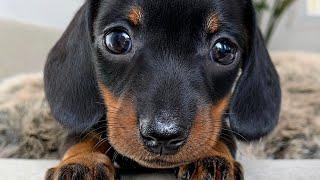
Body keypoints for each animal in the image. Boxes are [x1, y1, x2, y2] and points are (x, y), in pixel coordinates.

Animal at [44, 0, 280, 179]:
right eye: (117, 40)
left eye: (224, 50)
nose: (163, 136)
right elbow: (83, 137)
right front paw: (84, 162)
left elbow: (218, 135)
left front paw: (211, 156)